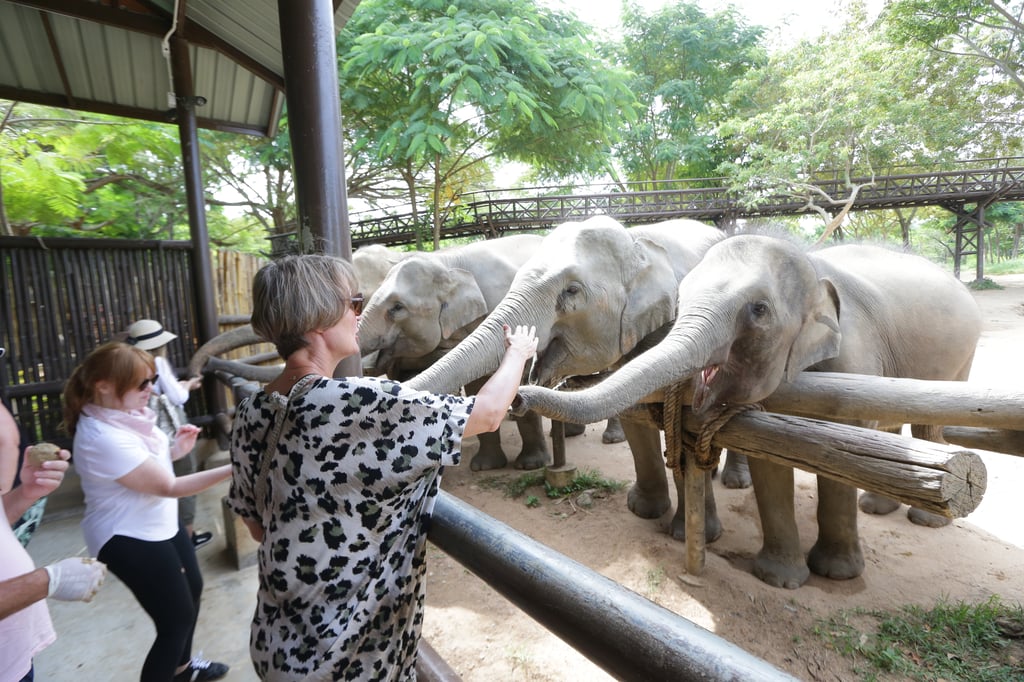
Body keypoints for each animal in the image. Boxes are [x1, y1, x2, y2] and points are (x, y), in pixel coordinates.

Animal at [405, 215, 726, 526]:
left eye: (571, 291)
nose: (517, 398)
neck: (637, 243)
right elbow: (635, 418)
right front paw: (644, 511)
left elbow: (684, 425)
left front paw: (684, 531)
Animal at [514, 234, 982, 589]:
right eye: (681, 299)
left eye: (758, 310)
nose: (520, 393)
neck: (812, 269)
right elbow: (770, 460)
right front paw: (779, 579)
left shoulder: (854, 357)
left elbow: (840, 457)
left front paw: (834, 575)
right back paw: (875, 508)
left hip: (962, 359)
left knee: (929, 424)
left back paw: (924, 519)